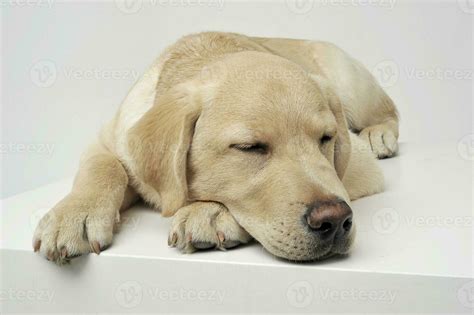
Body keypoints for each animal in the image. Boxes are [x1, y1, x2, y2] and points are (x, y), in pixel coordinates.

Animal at [32, 32, 400, 264]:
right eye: (250, 147)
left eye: (326, 138)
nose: (335, 221)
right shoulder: (108, 138)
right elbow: (103, 167)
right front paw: (74, 215)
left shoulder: (357, 169)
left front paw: (208, 212)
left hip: (347, 78)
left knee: (388, 110)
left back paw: (380, 134)